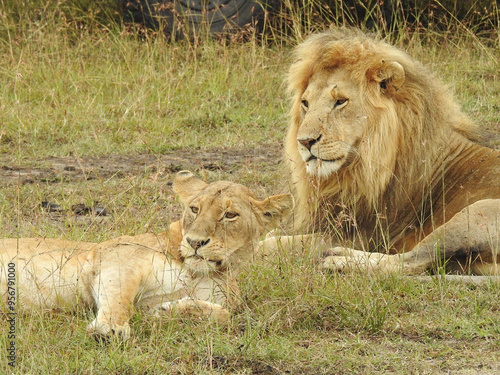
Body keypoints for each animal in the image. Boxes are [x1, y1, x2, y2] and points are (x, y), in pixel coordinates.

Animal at [0, 172, 292, 340]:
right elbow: (119, 298)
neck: (195, 272)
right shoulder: (116, 256)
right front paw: (110, 329)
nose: (195, 242)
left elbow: (223, 315)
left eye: (230, 215)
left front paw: (169, 312)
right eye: (194, 209)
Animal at [282, 29, 500, 276]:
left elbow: (275, 244)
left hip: (477, 213)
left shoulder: (363, 233)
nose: (304, 141)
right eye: (305, 103)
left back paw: (338, 260)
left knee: (410, 262)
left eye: (340, 101)